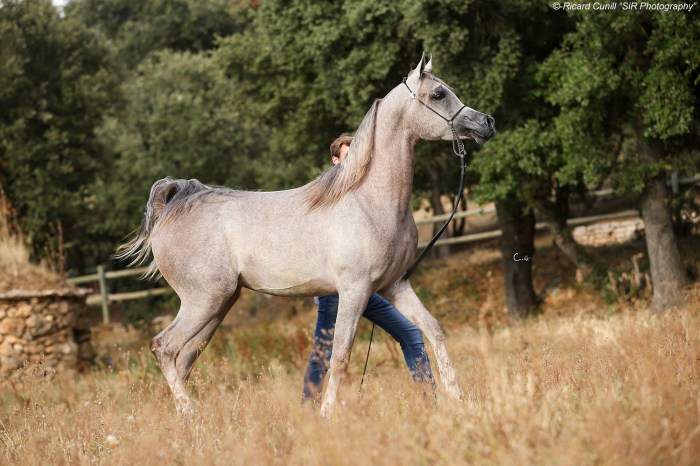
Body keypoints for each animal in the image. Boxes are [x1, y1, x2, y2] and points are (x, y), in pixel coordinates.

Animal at [117, 56, 495, 418]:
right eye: (438, 94)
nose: (487, 123)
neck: (369, 200)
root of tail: (176, 204)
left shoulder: (395, 285)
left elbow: (433, 330)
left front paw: (458, 400)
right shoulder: (355, 291)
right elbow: (340, 356)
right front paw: (328, 414)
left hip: (219, 306)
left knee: (184, 360)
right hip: (203, 301)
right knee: (164, 348)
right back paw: (192, 415)